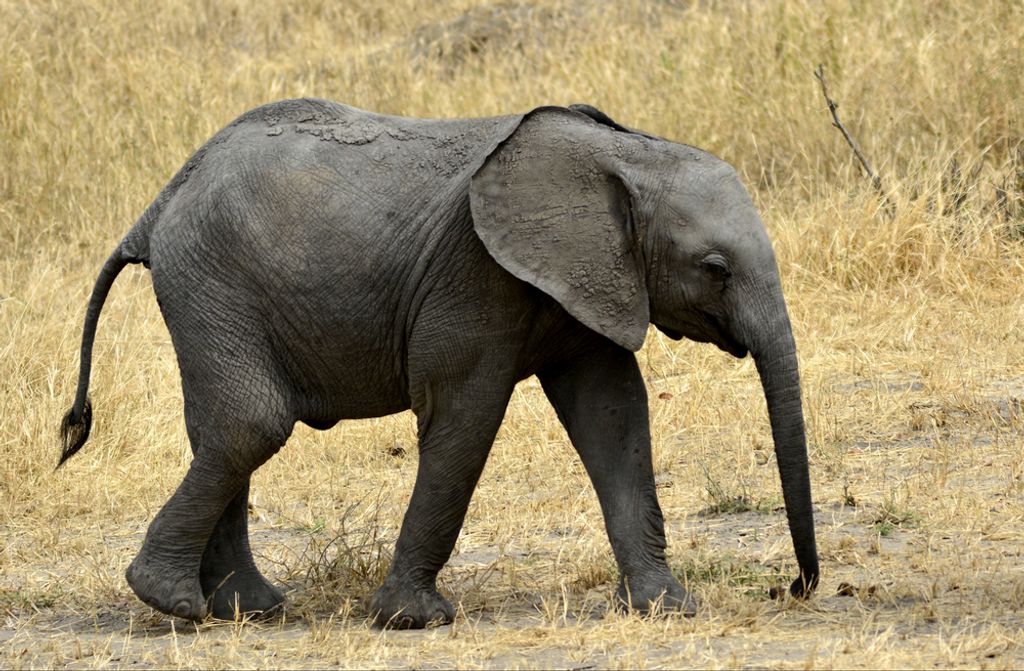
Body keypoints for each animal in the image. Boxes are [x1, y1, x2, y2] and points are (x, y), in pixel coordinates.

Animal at [59, 98, 819, 628]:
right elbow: (464, 418)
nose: (793, 586)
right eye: (715, 268)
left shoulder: (592, 279)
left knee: (222, 432)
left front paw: (668, 608)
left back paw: (249, 610)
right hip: (212, 281)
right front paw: (413, 621)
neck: (625, 153)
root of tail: (160, 203)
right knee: (252, 423)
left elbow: (614, 417)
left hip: (209, 290)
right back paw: (173, 602)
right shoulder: (475, 276)